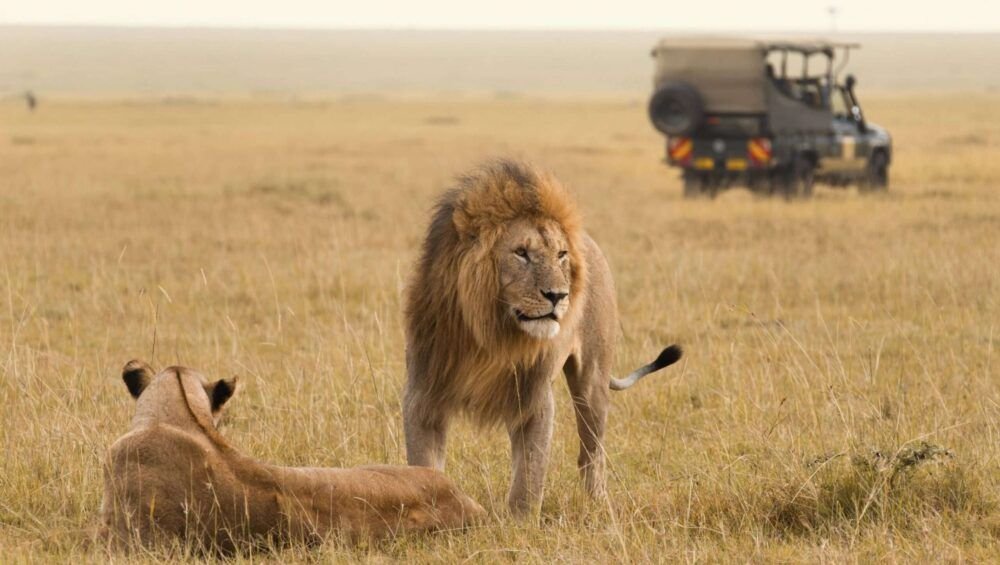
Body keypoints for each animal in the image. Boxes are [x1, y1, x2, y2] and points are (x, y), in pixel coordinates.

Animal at [402, 159, 684, 516]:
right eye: (521, 253)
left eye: (561, 254)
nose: (558, 295)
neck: (491, 334)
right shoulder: (423, 393)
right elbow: (423, 465)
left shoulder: (534, 397)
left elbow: (530, 474)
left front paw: (519, 524)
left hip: (592, 381)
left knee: (591, 452)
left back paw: (598, 504)